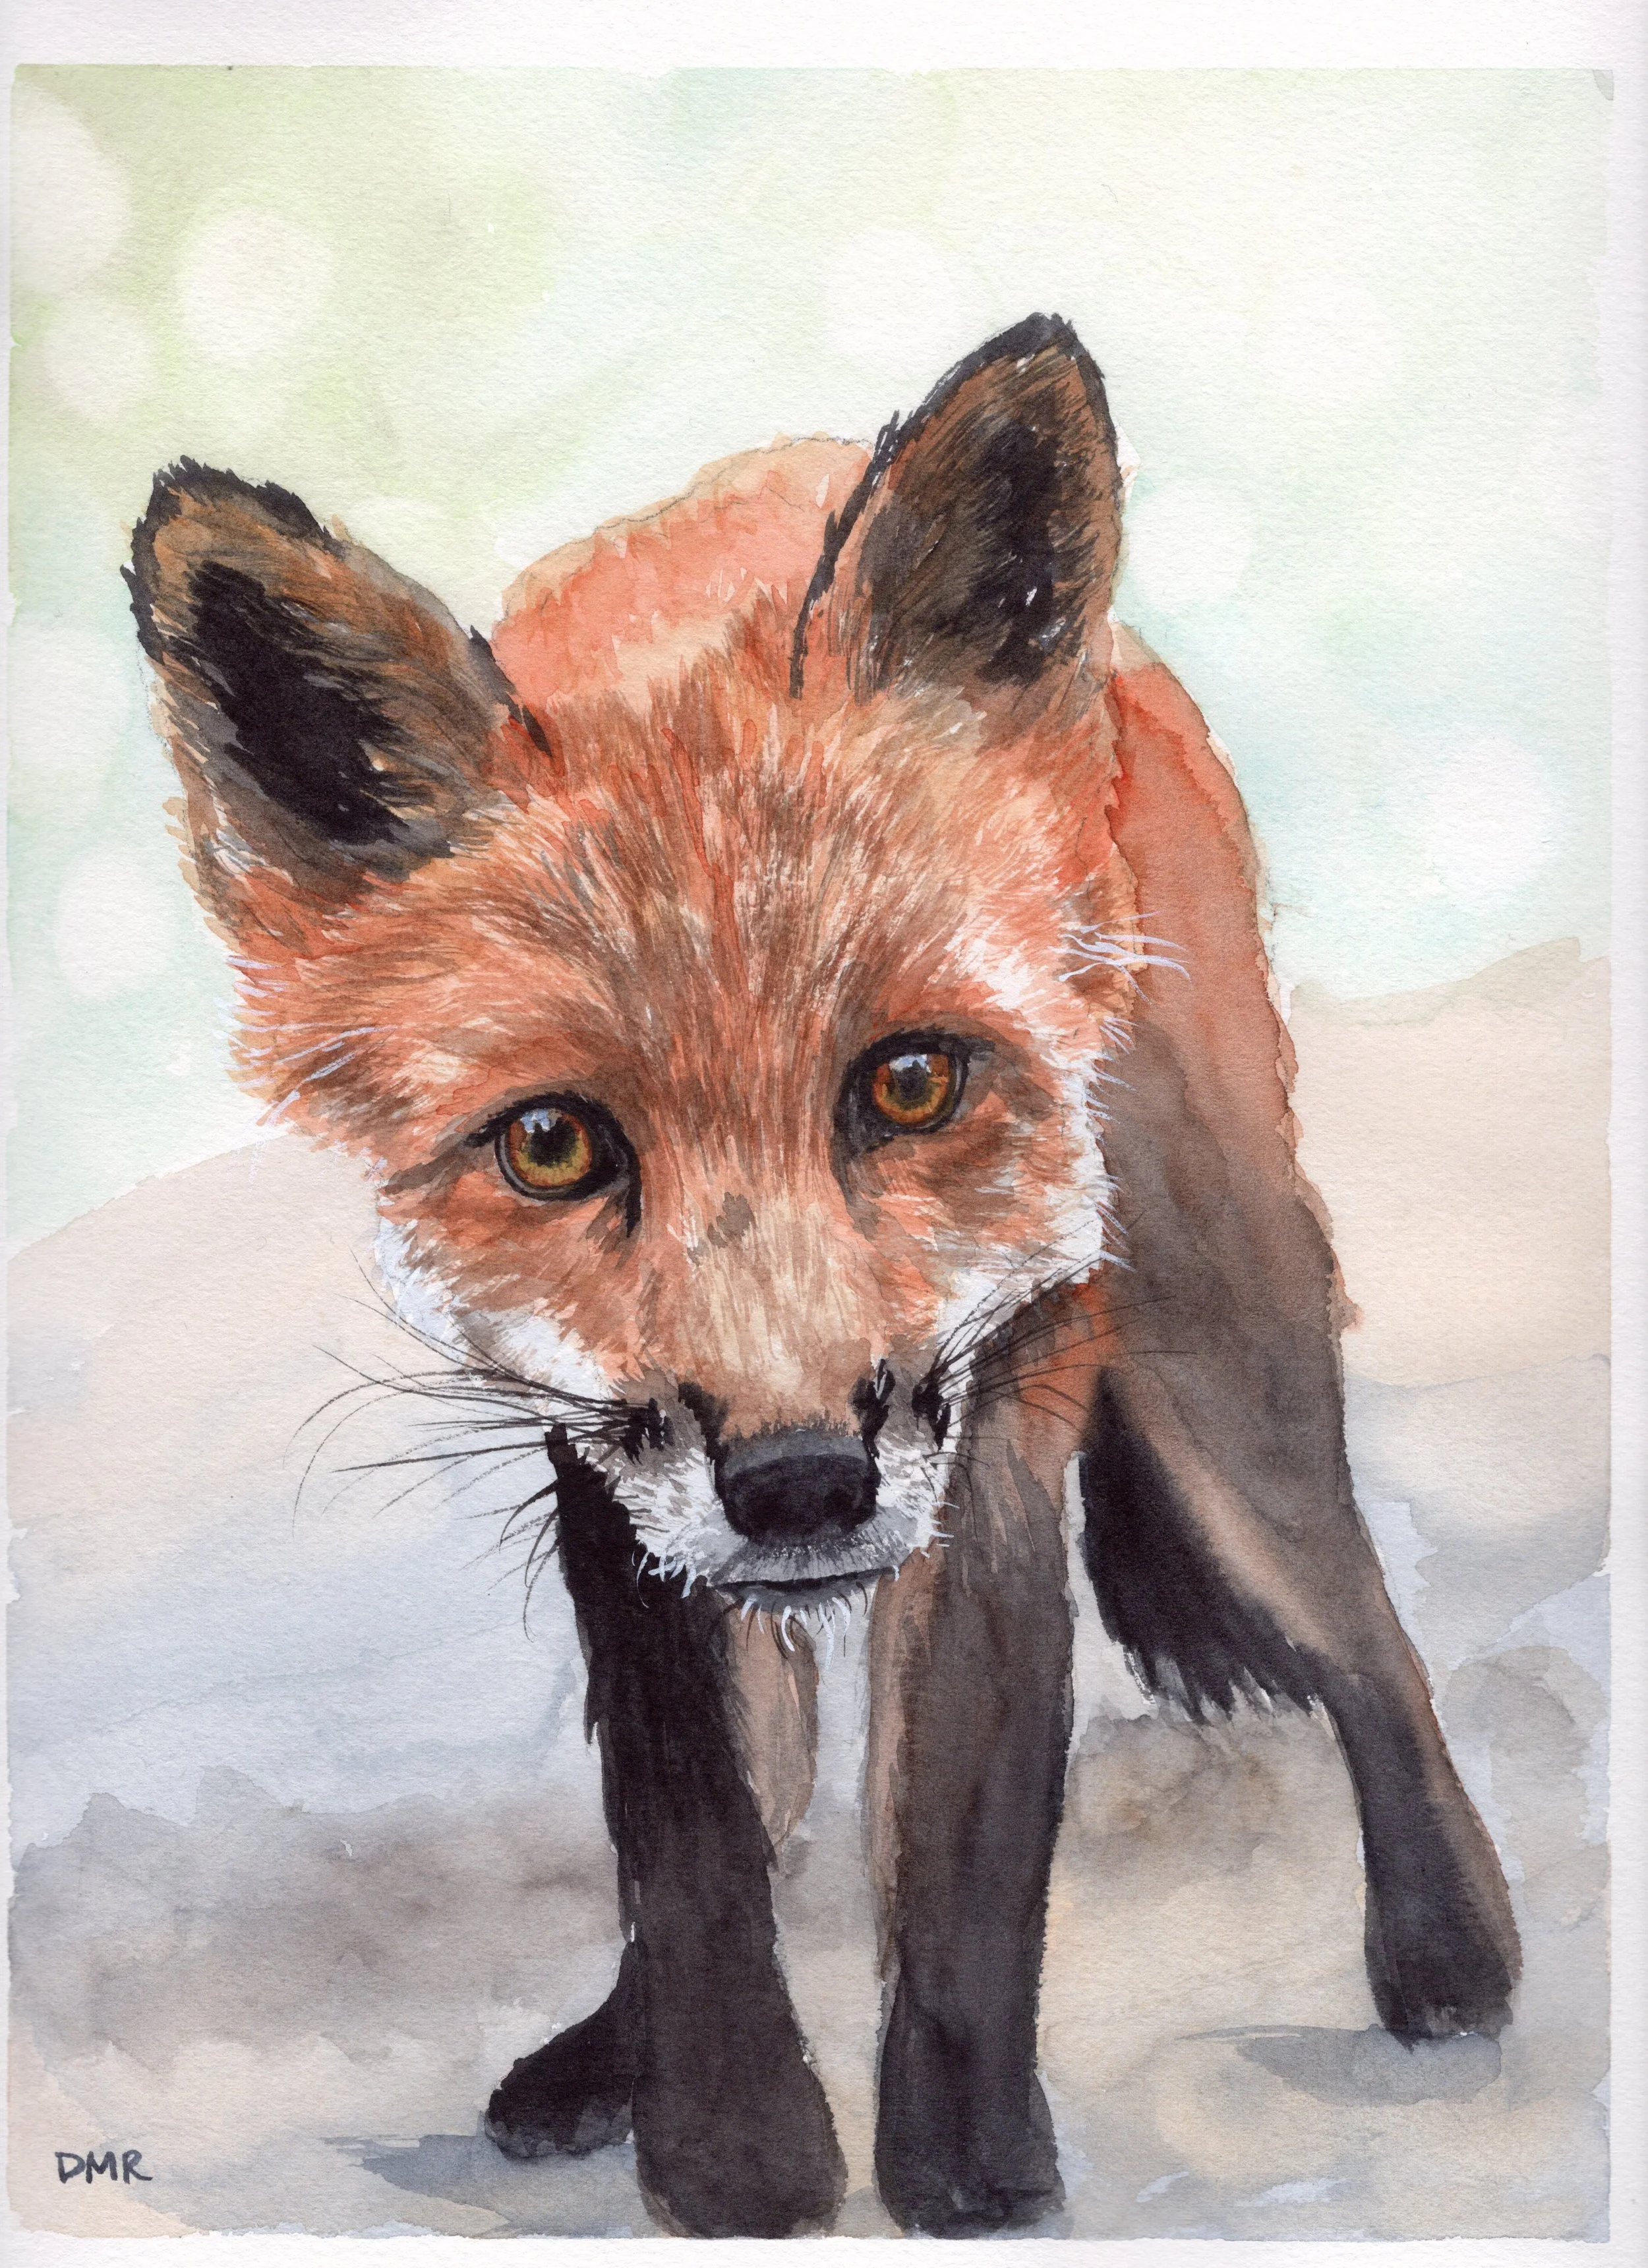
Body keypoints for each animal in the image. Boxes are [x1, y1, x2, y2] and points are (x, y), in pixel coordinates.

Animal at [127, 315, 1521, 2238]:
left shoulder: (989, 1423)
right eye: (551, 1145)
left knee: (1355, 1617)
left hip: (1222, 1325)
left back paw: (1451, 1949)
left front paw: (963, 2178)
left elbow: (963, 1842)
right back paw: (608, 2048)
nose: (799, 1485)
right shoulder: (610, 1464)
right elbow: (696, 1830)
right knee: (780, 1773)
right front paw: (733, 2159)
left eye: (911, 1083)